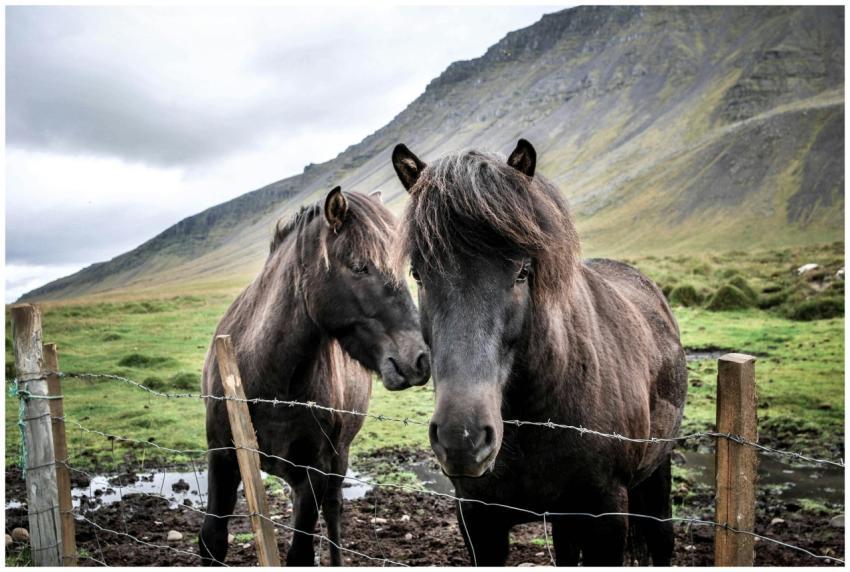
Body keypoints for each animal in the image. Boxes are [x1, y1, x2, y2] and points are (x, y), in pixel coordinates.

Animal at [198, 187, 430, 566]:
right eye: (360, 266)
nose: (420, 359)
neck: (271, 382)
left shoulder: (315, 470)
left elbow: (302, 552)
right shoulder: (222, 456)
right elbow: (212, 540)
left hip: (337, 460)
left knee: (333, 512)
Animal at [391, 140, 687, 566]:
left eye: (522, 271)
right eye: (418, 274)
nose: (461, 438)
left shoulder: (606, 517)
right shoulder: (479, 521)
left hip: (657, 474)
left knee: (662, 538)